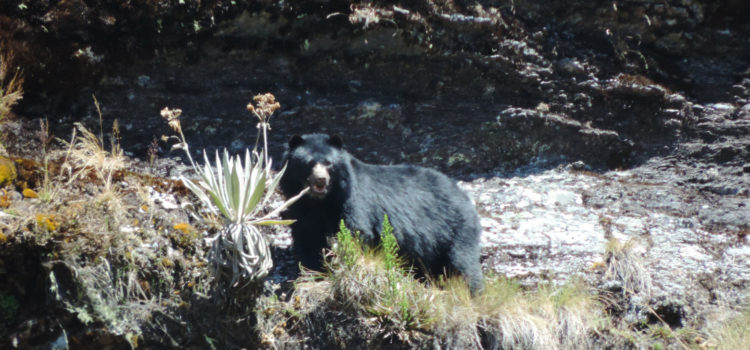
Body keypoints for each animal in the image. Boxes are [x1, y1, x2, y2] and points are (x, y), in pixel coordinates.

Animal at [280, 133, 484, 294]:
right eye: (308, 163)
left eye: (328, 163)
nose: (321, 180)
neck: (320, 202)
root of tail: (464, 196)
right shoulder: (300, 210)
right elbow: (307, 238)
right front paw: (311, 272)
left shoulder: (353, 201)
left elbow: (356, 231)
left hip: (456, 228)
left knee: (463, 263)